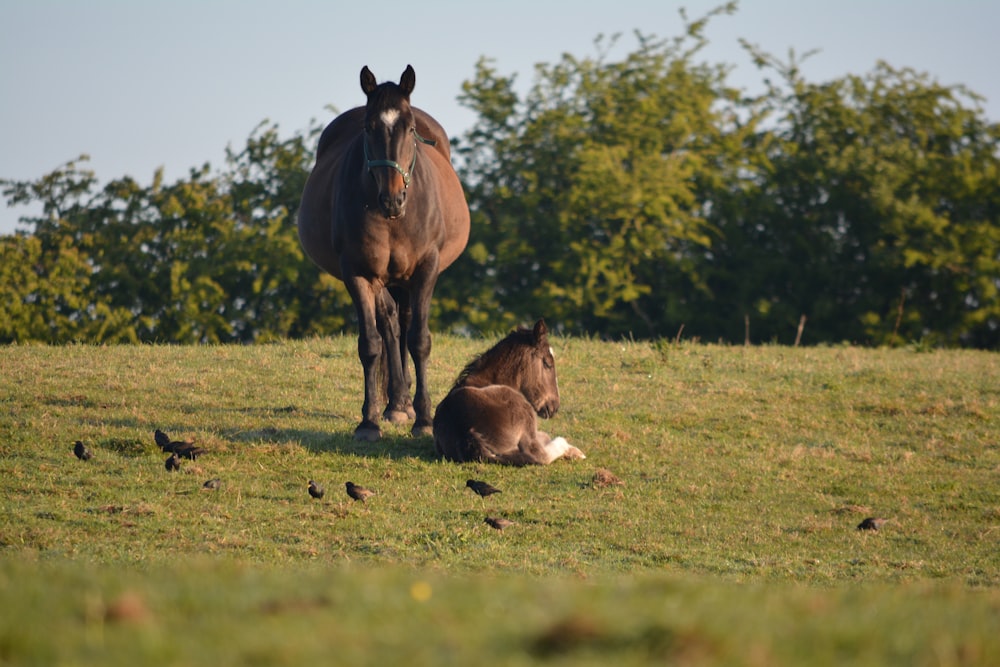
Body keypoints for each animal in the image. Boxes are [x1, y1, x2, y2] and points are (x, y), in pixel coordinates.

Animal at [298, 66, 470, 444]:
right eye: (369, 127)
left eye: (410, 129)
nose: (393, 199)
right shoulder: (358, 274)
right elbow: (371, 343)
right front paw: (369, 422)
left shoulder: (426, 269)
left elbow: (419, 340)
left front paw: (425, 419)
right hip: (382, 282)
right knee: (390, 323)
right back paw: (396, 404)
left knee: (403, 323)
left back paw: (405, 405)